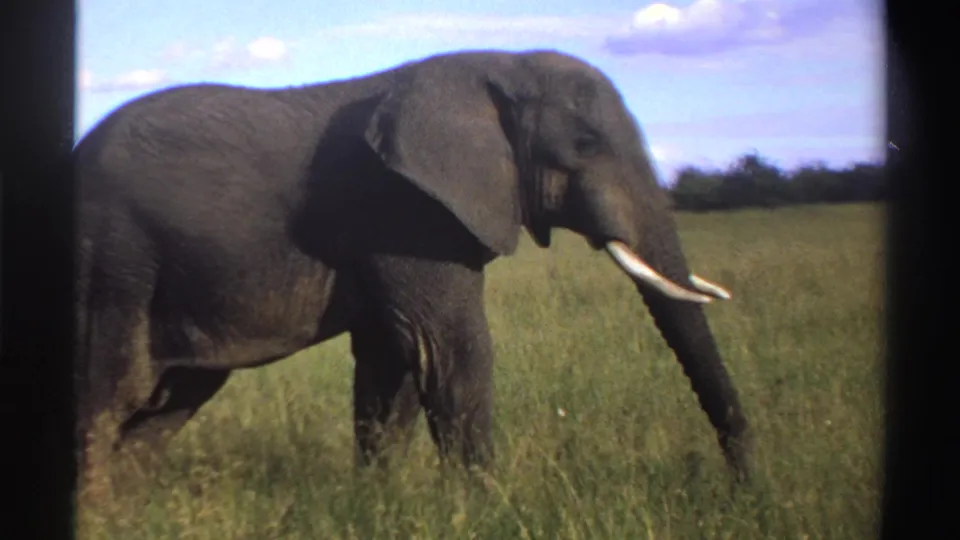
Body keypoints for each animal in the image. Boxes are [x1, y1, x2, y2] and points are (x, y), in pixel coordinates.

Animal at [73, 48, 752, 500]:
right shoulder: (405, 209)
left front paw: (378, 507)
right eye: (585, 144)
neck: (498, 66)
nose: (743, 491)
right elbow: (450, 348)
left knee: (168, 402)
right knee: (110, 390)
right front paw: (488, 510)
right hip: (112, 262)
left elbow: (392, 364)